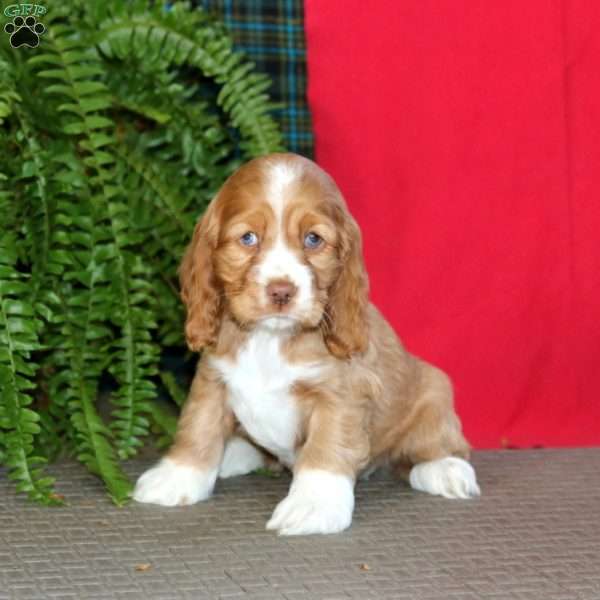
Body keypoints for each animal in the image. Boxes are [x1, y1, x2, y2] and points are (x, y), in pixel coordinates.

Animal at [134, 152, 480, 536]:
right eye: (248, 238)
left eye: (313, 240)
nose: (281, 291)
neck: (271, 338)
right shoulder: (213, 379)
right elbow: (198, 426)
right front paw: (177, 476)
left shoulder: (341, 394)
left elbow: (326, 449)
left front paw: (313, 506)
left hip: (434, 392)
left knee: (439, 446)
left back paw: (446, 470)